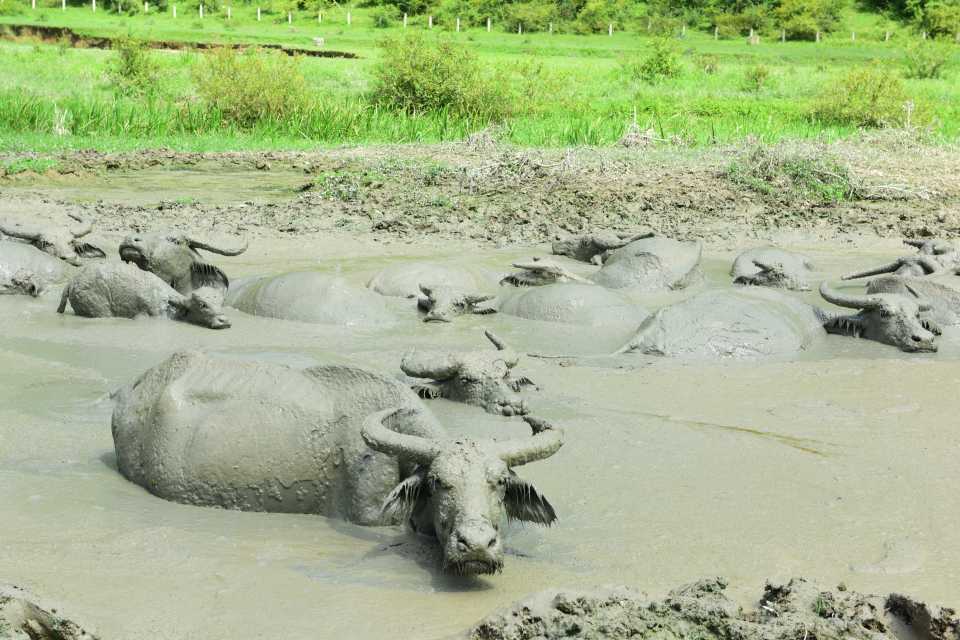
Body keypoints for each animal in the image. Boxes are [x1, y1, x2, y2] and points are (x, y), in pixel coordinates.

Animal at [58, 262, 231, 330]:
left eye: (220, 303)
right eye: (202, 305)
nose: (224, 321)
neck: (171, 306)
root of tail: (73, 282)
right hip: (99, 308)